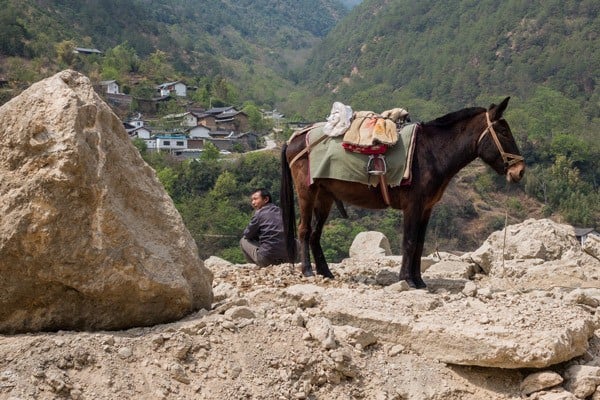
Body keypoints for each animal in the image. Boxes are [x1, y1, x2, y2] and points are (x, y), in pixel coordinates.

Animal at [282, 97, 524, 288]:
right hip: (306, 193)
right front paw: (407, 279)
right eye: (503, 132)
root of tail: (295, 137)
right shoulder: (412, 206)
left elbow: (419, 244)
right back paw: (307, 270)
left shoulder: (426, 209)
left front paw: (419, 280)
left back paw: (326, 272)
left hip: (325, 197)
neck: (432, 152)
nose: (519, 171)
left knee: (315, 234)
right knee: (304, 230)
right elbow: (408, 241)